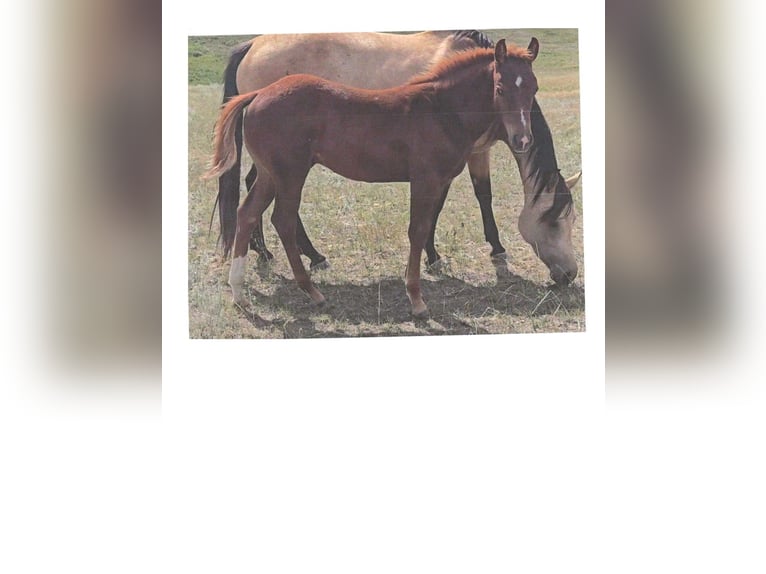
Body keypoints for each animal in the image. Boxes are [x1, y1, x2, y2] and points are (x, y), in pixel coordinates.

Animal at [206, 39, 562, 317]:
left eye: (534, 88)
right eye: (500, 88)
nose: (522, 139)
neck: (440, 110)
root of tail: (257, 94)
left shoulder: (439, 179)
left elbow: (427, 225)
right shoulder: (425, 179)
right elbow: (417, 230)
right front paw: (416, 299)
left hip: (271, 174)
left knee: (247, 214)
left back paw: (239, 292)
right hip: (290, 174)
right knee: (282, 220)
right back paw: (312, 290)